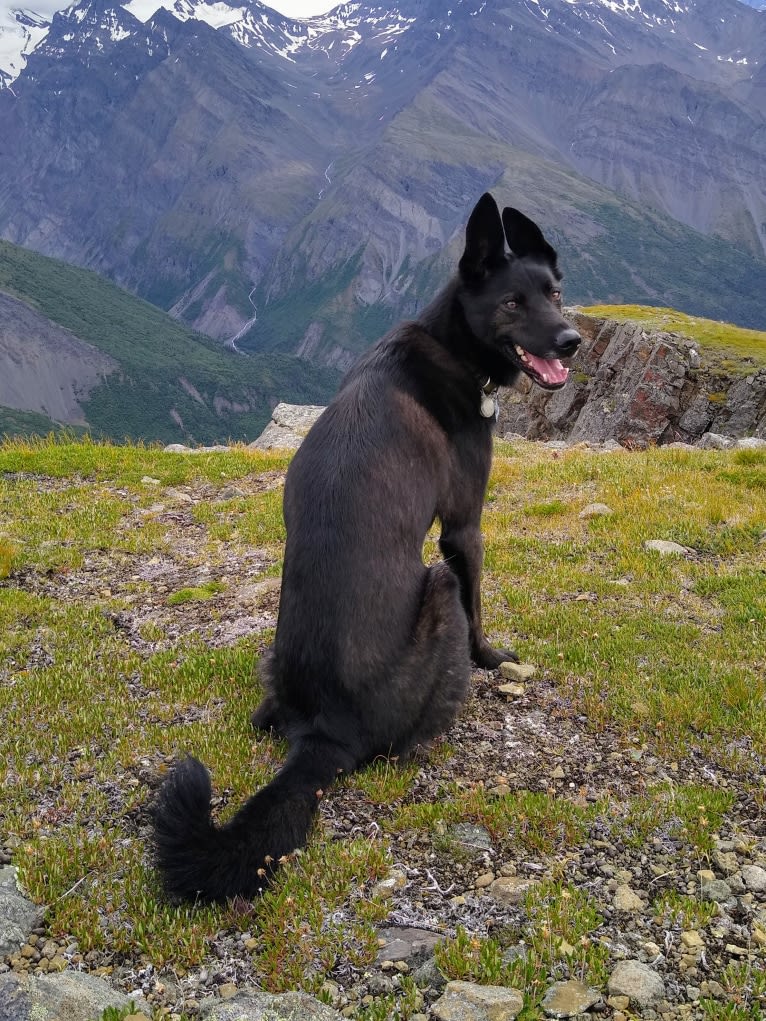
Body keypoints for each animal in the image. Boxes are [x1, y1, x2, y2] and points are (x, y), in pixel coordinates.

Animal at [151, 191, 580, 902]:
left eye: (554, 292)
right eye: (513, 303)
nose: (573, 339)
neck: (453, 346)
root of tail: (325, 730)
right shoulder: (462, 527)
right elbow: (480, 606)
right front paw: (492, 658)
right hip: (435, 587)